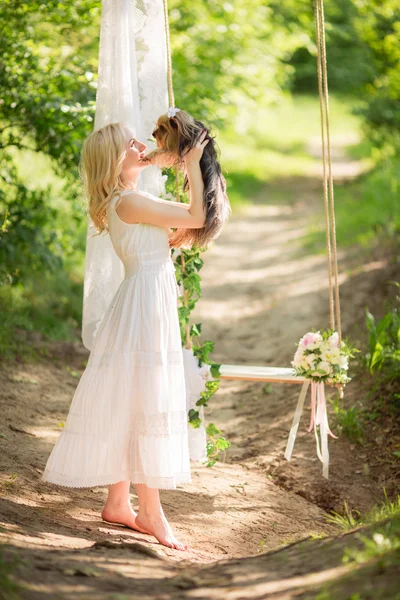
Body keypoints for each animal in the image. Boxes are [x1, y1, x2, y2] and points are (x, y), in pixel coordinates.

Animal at [140, 109, 231, 247]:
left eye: (163, 128)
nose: (153, 134)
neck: (188, 130)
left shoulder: (177, 149)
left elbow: (161, 151)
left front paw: (148, 156)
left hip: (197, 224)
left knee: (186, 232)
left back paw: (173, 241)